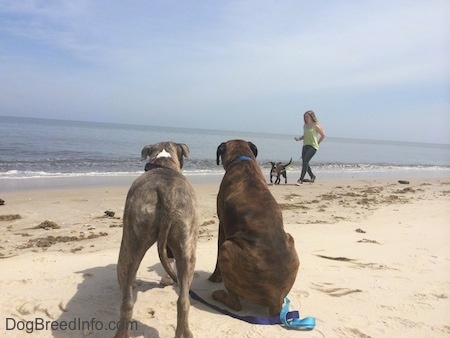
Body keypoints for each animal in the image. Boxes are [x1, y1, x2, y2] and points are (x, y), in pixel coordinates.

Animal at [116, 141, 199, 338]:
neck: (164, 164)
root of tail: (166, 192)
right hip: (187, 247)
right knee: (183, 301)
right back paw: (185, 332)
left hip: (129, 244)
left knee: (126, 298)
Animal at [209, 139, 300, 316]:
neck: (242, 159)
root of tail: (275, 297)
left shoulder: (222, 225)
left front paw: (215, 277)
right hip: (291, 240)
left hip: (227, 248)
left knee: (236, 304)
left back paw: (219, 295)